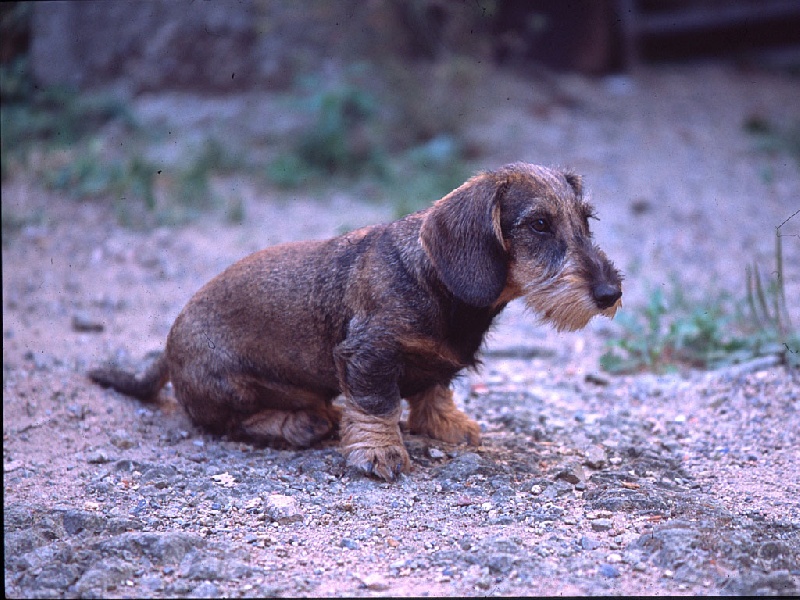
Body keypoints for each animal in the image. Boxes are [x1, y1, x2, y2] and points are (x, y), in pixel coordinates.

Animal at [89, 162, 622, 481]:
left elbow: (434, 389)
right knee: (227, 422)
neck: (434, 278)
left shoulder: (433, 361)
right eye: (539, 224)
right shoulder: (368, 353)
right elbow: (376, 403)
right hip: (229, 387)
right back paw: (298, 422)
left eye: (586, 220)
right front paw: (379, 451)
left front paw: (445, 423)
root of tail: (167, 345)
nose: (610, 294)